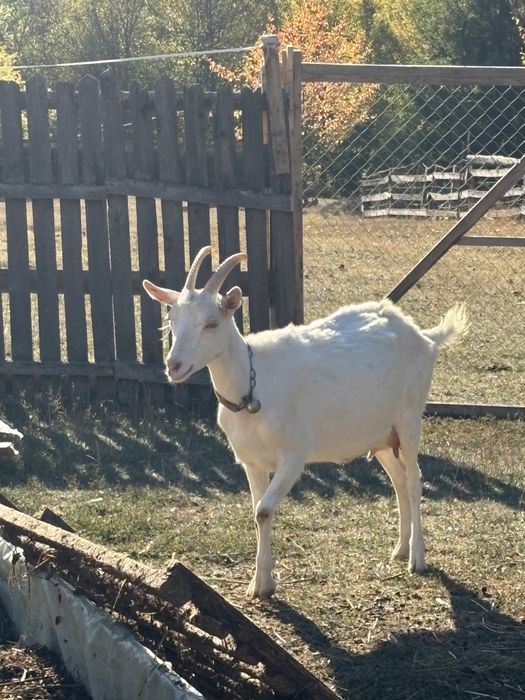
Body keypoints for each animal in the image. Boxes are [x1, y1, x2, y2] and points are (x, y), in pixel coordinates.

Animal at [143, 247, 468, 599]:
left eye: (211, 324)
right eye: (172, 319)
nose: (173, 366)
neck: (252, 387)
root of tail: (424, 336)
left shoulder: (294, 455)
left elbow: (264, 510)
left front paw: (262, 585)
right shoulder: (251, 462)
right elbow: (257, 511)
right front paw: (262, 583)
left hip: (409, 419)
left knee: (414, 480)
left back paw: (417, 558)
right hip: (380, 435)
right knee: (399, 480)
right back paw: (400, 548)